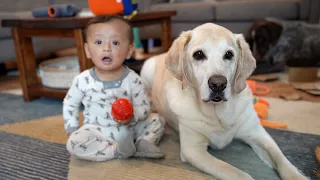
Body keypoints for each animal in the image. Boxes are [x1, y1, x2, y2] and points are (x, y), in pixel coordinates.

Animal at [140, 23, 308, 179]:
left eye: (229, 54)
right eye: (198, 54)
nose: (218, 84)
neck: (218, 113)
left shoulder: (258, 134)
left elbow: (282, 160)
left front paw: (297, 175)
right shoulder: (193, 149)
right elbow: (235, 172)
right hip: (147, 70)